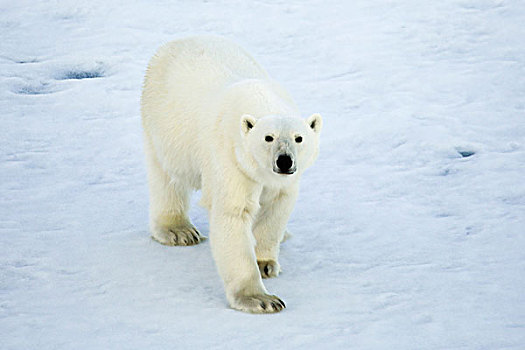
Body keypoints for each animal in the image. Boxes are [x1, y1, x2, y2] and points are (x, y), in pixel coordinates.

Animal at [140, 36, 320, 314]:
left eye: (299, 138)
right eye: (268, 137)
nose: (284, 161)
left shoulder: (282, 181)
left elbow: (277, 206)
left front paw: (265, 263)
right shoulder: (231, 157)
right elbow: (233, 214)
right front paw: (262, 299)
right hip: (164, 124)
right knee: (167, 178)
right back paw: (179, 231)